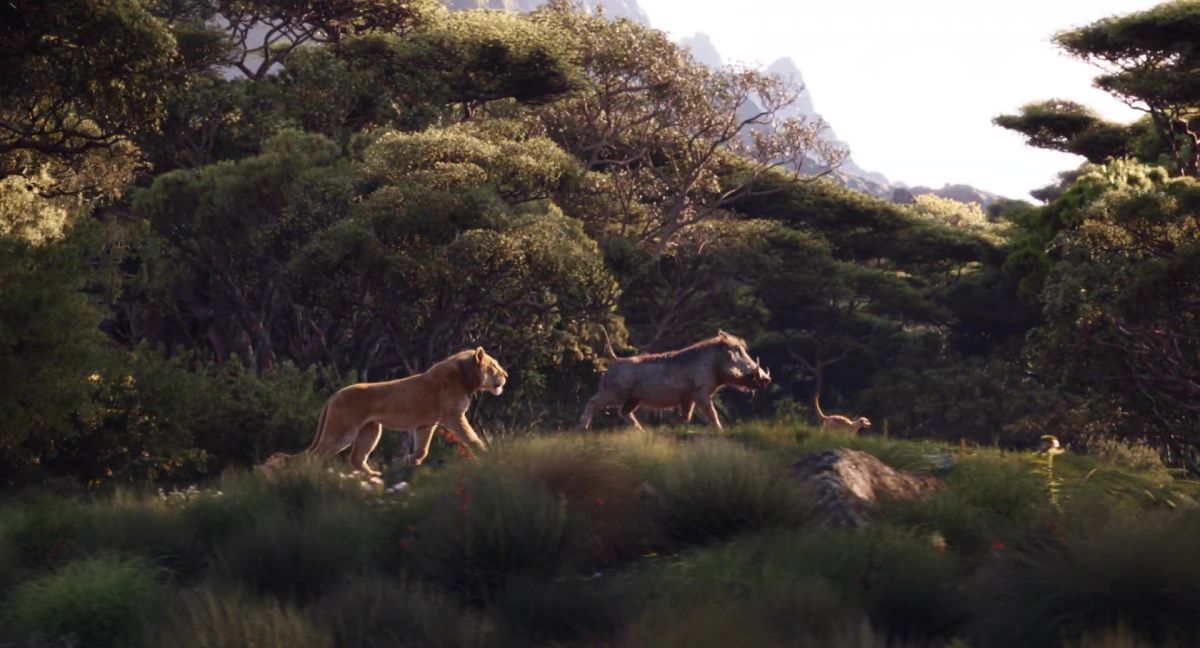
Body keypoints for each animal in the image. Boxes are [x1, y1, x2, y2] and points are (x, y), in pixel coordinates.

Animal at [296, 347, 508, 475]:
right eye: (494, 365)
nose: (506, 375)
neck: (466, 377)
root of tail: (333, 395)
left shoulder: (425, 424)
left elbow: (422, 450)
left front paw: (409, 462)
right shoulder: (454, 417)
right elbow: (472, 437)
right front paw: (486, 454)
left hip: (371, 430)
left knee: (356, 459)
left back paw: (374, 476)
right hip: (342, 432)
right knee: (315, 455)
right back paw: (311, 475)